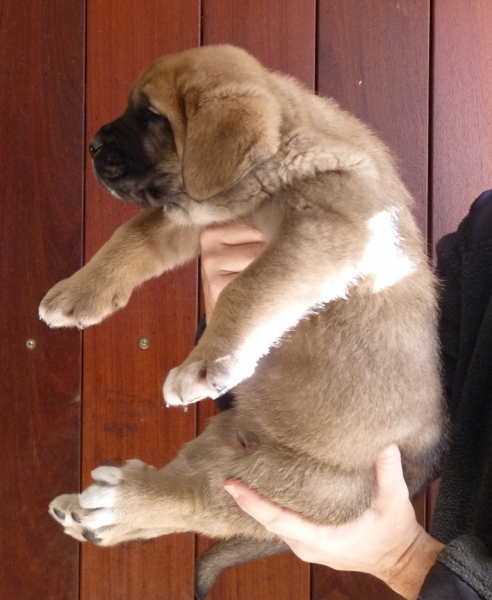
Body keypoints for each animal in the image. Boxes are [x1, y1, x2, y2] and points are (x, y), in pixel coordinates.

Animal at [39, 44, 446, 596]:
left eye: (152, 117)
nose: (93, 145)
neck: (277, 156)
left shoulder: (328, 226)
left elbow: (250, 285)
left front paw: (206, 361)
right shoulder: (195, 216)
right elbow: (133, 235)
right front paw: (76, 294)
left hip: (282, 484)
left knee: (200, 498)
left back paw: (117, 505)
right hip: (227, 443)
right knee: (186, 488)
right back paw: (92, 515)